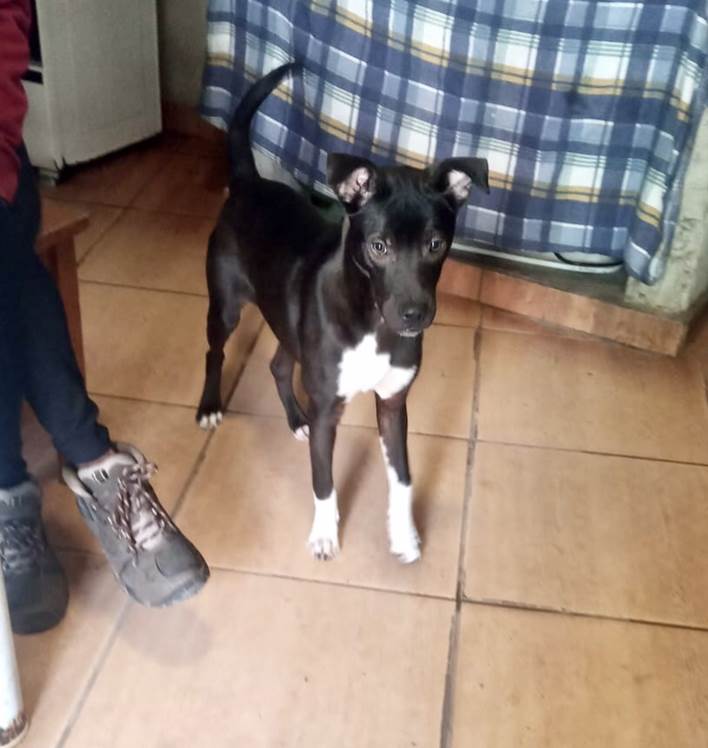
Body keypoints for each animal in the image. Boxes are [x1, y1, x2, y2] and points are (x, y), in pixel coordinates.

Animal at [197, 63, 489, 562]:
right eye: (379, 247)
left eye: (435, 244)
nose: (414, 316)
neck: (372, 323)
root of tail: (249, 182)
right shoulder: (328, 409)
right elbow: (323, 480)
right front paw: (324, 534)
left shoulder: (393, 404)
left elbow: (402, 478)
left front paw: (404, 534)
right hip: (228, 306)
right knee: (215, 350)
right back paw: (211, 406)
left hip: (290, 326)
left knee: (278, 365)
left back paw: (296, 420)